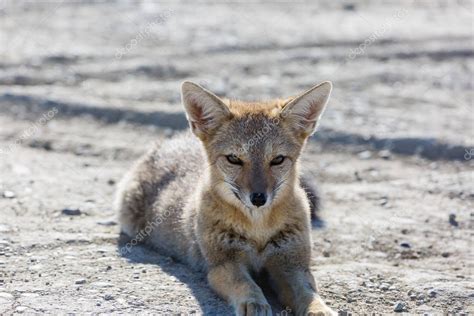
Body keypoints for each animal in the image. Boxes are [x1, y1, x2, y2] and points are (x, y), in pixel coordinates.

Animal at [116, 80, 336, 314]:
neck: (258, 229)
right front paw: (255, 304)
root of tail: (171, 141)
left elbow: (307, 293)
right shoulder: (223, 265)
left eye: (277, 160)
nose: (258, 199)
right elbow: (246, 284)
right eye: (234, 159)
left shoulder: (292, 265)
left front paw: (319, 309)